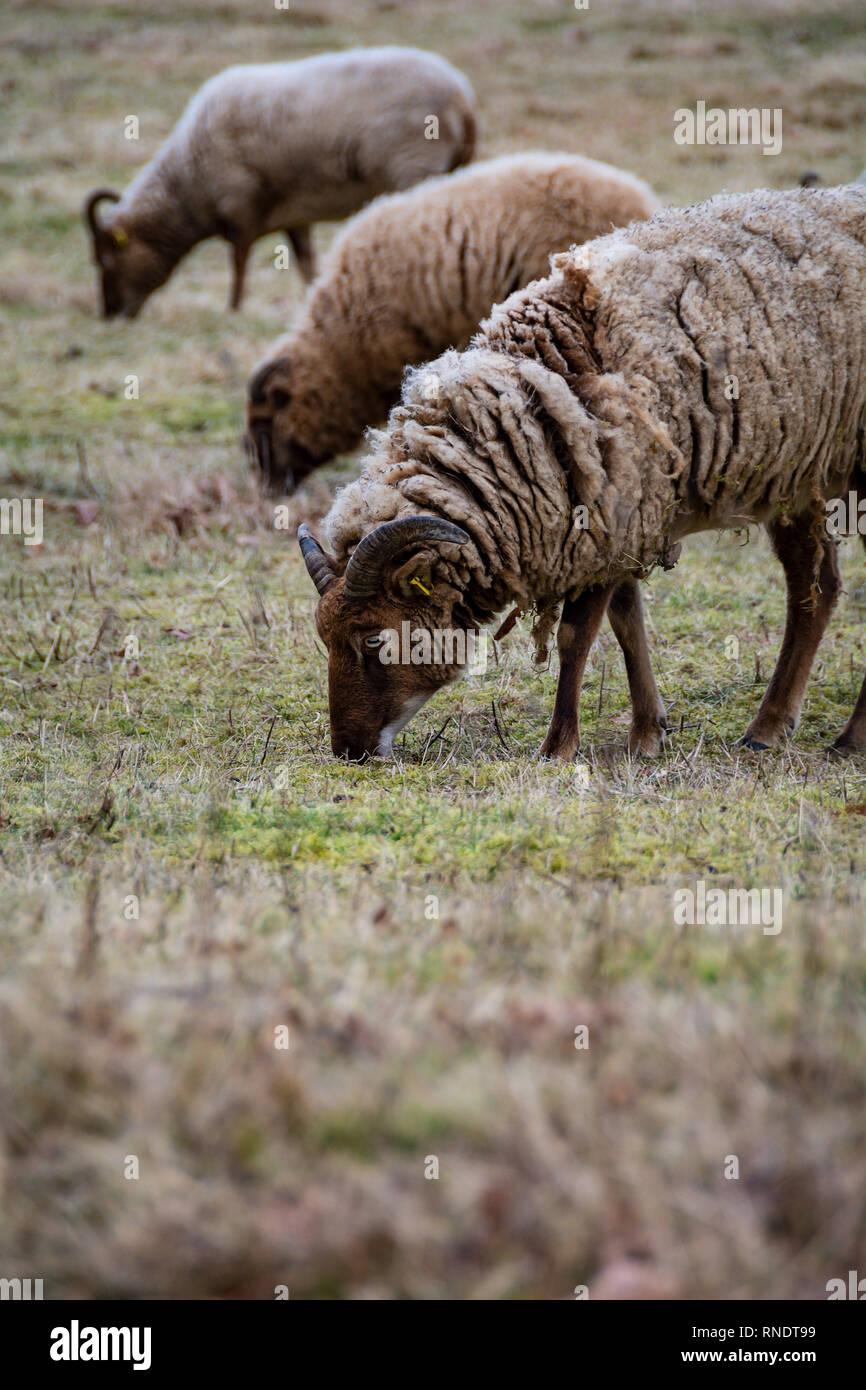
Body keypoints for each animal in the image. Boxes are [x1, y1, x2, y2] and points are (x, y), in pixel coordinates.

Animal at [83, 47, 476, 319]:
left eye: (105, 259)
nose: (110, 315)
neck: (186, 179)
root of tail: (462, 99)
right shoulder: (295, 218)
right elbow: (305, 263)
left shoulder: (239, 208)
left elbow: (239, 264)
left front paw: (233, 311)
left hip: (414, 167)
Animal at [296, 185, 866, 761]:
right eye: (323, 637)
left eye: (373, 638)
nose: (348, 750)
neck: (535, 401)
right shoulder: (619, 524)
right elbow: (626, 621)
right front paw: (647, 734)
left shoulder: (608, 513)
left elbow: (576, 635)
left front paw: (558, 747)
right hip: (800, 474)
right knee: (815, 588)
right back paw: (768, 728)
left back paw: (847, 738)